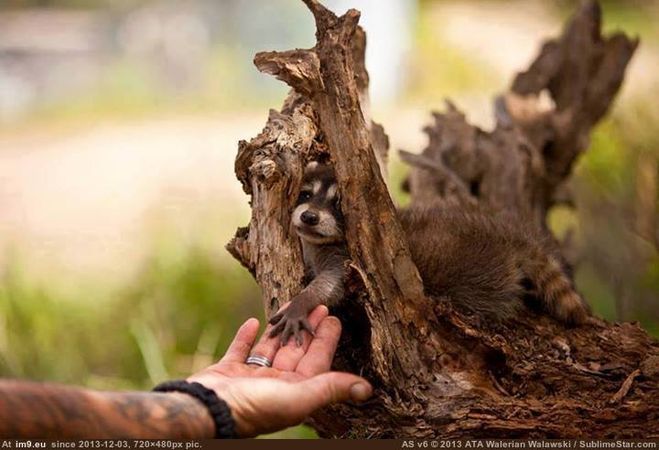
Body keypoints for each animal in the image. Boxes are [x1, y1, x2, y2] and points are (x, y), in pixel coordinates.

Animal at [270, 162, 592, 344]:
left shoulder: (349, 260)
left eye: (338, 205)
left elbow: (331, 285)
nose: (309, 217)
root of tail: (506, 235)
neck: (321, 242)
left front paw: (302, 302)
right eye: (306, 194)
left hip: (477, 272)